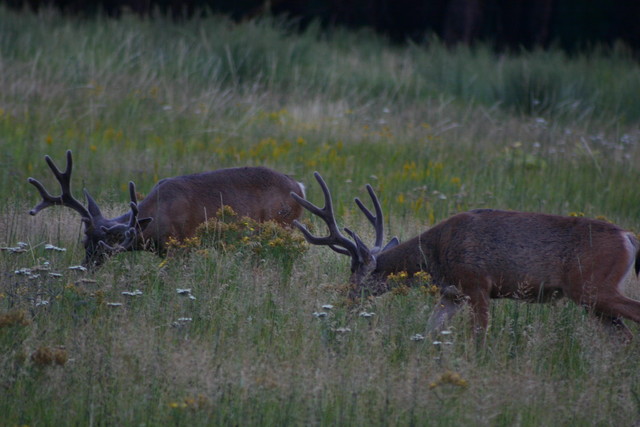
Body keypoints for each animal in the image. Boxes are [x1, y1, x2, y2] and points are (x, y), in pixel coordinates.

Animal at [31, 149, 306, 266]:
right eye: (85, 241)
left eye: (110, 242)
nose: (87, 266)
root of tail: (299, 186)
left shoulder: (181, 246)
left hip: (281, 226)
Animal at [292, 172, 640, 342]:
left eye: (356, 276)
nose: (345, 302)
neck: (436, 254)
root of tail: (629, 237)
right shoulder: (452, 294)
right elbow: (430, 330)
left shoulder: (477, 284)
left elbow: (479, 336)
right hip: (592, 300)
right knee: (622, 338)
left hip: (592, 286)